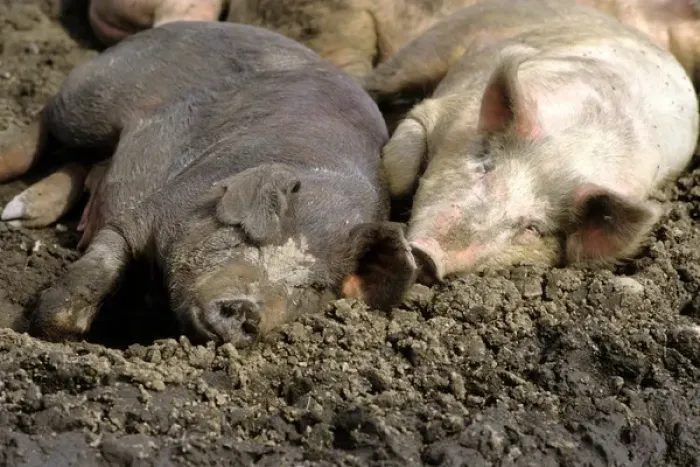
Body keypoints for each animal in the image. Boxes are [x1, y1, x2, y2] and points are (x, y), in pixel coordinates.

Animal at [0, 21, 416, 343]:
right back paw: (12, 203)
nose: (248, 309)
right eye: (248, 237)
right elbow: (96, 269)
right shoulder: (154, 210)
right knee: (46, 122)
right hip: (92, 100)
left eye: (315, 286)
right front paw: (35, 328)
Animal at [363, 0, 699, 284]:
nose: (426, 255)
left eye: (532, 227)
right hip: (438, 42)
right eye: (484, 165)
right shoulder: (440, 109)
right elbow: (400, 172)